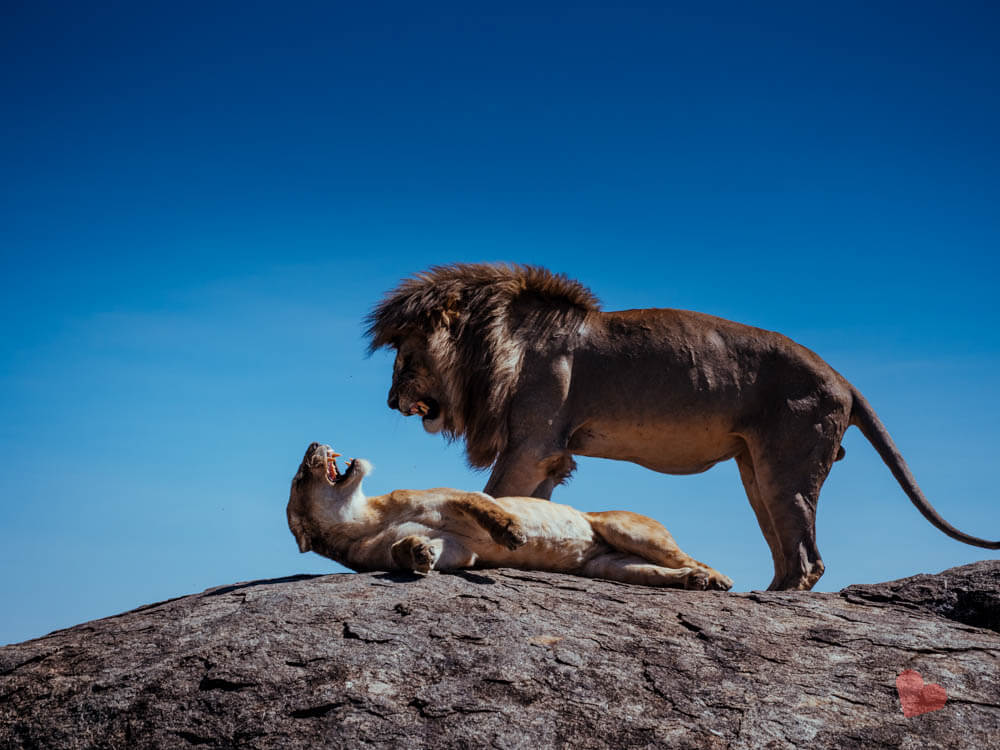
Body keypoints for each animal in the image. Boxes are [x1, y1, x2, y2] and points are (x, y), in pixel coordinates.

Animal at [286, 444, 732, 592]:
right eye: (301, 476)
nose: (313, 442)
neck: (363, 519)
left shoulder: (454, 496)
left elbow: (484, 508)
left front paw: (513, 532)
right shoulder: (459, 551)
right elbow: (411, 549)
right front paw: (416, 552)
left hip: (624, 527)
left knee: (689, 556)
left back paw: (716, 578)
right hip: (610, 566)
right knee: (656, 571)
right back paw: (693, 582)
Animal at [368, 264, 1000, 592]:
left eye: (405, 356)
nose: (392, 402)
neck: (497, 343)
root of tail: (843, 378)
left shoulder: (533, 443)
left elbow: (498, 495)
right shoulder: (550, 453)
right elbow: (533, 504)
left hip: (788, 465)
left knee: (808, 558)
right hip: (755, 469)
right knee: (788, 551)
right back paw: (760, 592)